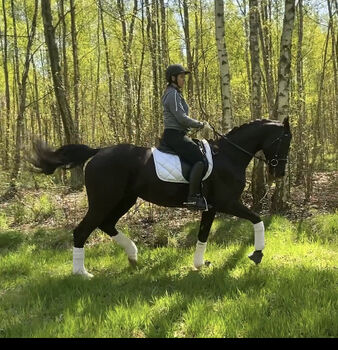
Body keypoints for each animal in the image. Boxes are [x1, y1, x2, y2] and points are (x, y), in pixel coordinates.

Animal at [30, 119, 292, 278]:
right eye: (285, 140)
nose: (279, 173)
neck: (229, 155)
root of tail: (98, 152)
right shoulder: (228, 203)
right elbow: (257, 219)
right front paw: (257, 254)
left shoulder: (211, 207)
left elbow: (203, 235)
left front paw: (199, 264)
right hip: (104, 201)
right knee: (82, 231)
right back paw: (82, 273)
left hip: (125, 200)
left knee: (107, 224)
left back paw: (133, 256)